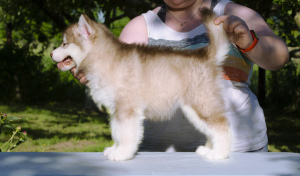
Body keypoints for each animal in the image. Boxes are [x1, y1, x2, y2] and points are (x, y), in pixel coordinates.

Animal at [50, 8, 231, 162]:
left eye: (64, 44)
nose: (51, 53)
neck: (104, 59)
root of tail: (206, 56)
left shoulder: (127, 109)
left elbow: (126, 134)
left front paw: (122, 153)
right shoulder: (115, 110)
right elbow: (116, 131)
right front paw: (115, 149)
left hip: (201, 103)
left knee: (221, 126)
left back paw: (219, 153)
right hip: (193, 109)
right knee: (211, 129)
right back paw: (208, 149)